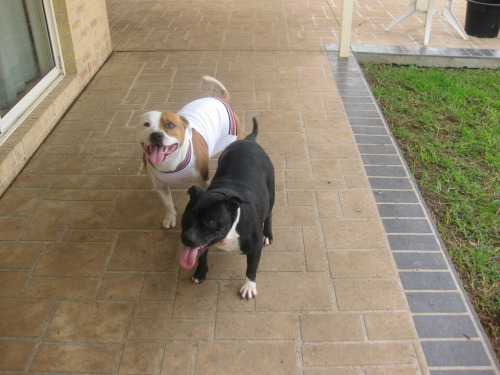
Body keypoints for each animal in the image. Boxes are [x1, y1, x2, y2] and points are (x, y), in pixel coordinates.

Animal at [138, 76, 243, 229]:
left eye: (170, 125)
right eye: (146, 124)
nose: (156, 135)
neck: (170, 161)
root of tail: (220, 99)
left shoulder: (203, 180)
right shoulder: (160, 186)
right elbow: (168, 203)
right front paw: (170, 217)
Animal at [179, 117, 274, 300]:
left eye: (210, 221)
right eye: (187, 215)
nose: (187, 238)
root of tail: (248, 140)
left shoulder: (255, 248)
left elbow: (251, 267)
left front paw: (249, 286)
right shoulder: (202, 244)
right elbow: (201, 256)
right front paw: (200, 273)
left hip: (271, 193)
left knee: (269, 216)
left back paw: (268, 234)